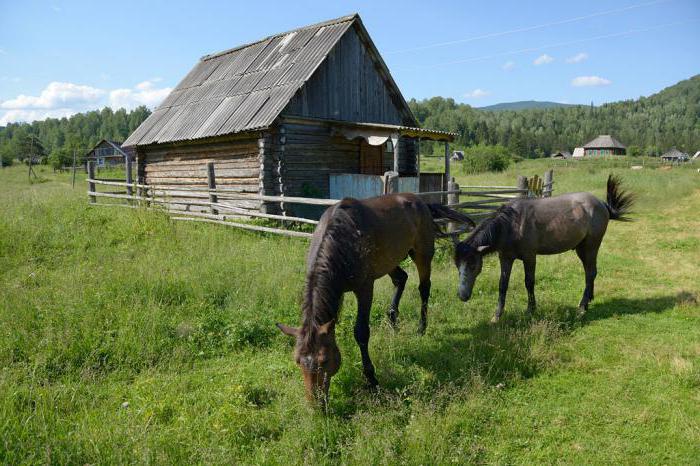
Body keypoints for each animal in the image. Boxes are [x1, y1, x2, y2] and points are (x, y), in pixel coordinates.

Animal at [276, 192, 474, 404]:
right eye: (297, 360)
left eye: (325, 360)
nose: (316, 404)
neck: (342, 240)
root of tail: (421, 202)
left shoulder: (365, 288)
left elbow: (361, 332)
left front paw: (371, 379)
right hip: (390, 261)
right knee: (401, 278)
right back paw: (393, 319)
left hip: (422, 253)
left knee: (424, 288)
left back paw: (421, 327)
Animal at [454, 175, 636, 324]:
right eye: (457, 266)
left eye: (473, 265)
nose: (462, 296)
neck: (512, 224)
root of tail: (602, 205)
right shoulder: (505, 257)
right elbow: (502, 284)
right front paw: (497, 316)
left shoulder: (529, 257)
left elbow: (529, 282)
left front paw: (531, 310)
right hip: (581, 249)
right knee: (589, 272)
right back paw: (589, 300)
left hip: (591, 246)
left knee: (591, 272)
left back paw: (582, 307)